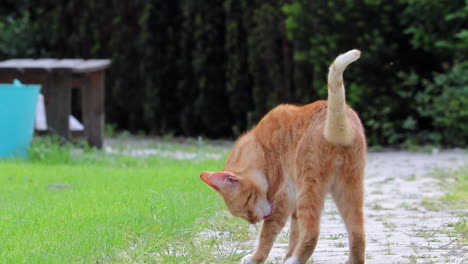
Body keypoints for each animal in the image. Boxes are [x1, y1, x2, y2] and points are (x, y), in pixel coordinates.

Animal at [200, 50, 366, 264]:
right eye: (243, 214)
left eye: (247, 202)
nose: (255, 220)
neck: (261, 147)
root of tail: (337, 126)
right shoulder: (293, 204)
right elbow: (294, 234)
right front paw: (286, 254)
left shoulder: (284, 198)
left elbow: (268, 235)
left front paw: (255, 258)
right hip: (349, 189)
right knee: (358, 233)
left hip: (309, 189)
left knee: (312, 233)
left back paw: (294, 260)